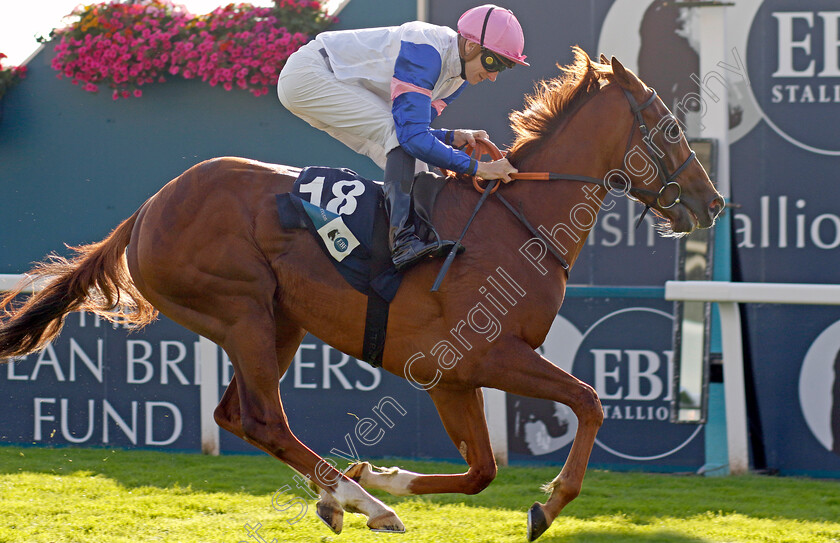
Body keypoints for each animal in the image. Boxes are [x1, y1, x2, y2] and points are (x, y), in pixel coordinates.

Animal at [0, 49, 720, 540]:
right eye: (672, 129)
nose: (711, 203)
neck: (520, 221)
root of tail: (147, 210)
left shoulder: (453, 377)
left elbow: (483, 470)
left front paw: (381, 473)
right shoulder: (486, 356)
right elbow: (589, 402)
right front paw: (546, 503)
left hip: (276, 321)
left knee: (237, 415)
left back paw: (347, 494)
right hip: (242, 310)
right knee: (264, 419)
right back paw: (363, 502)